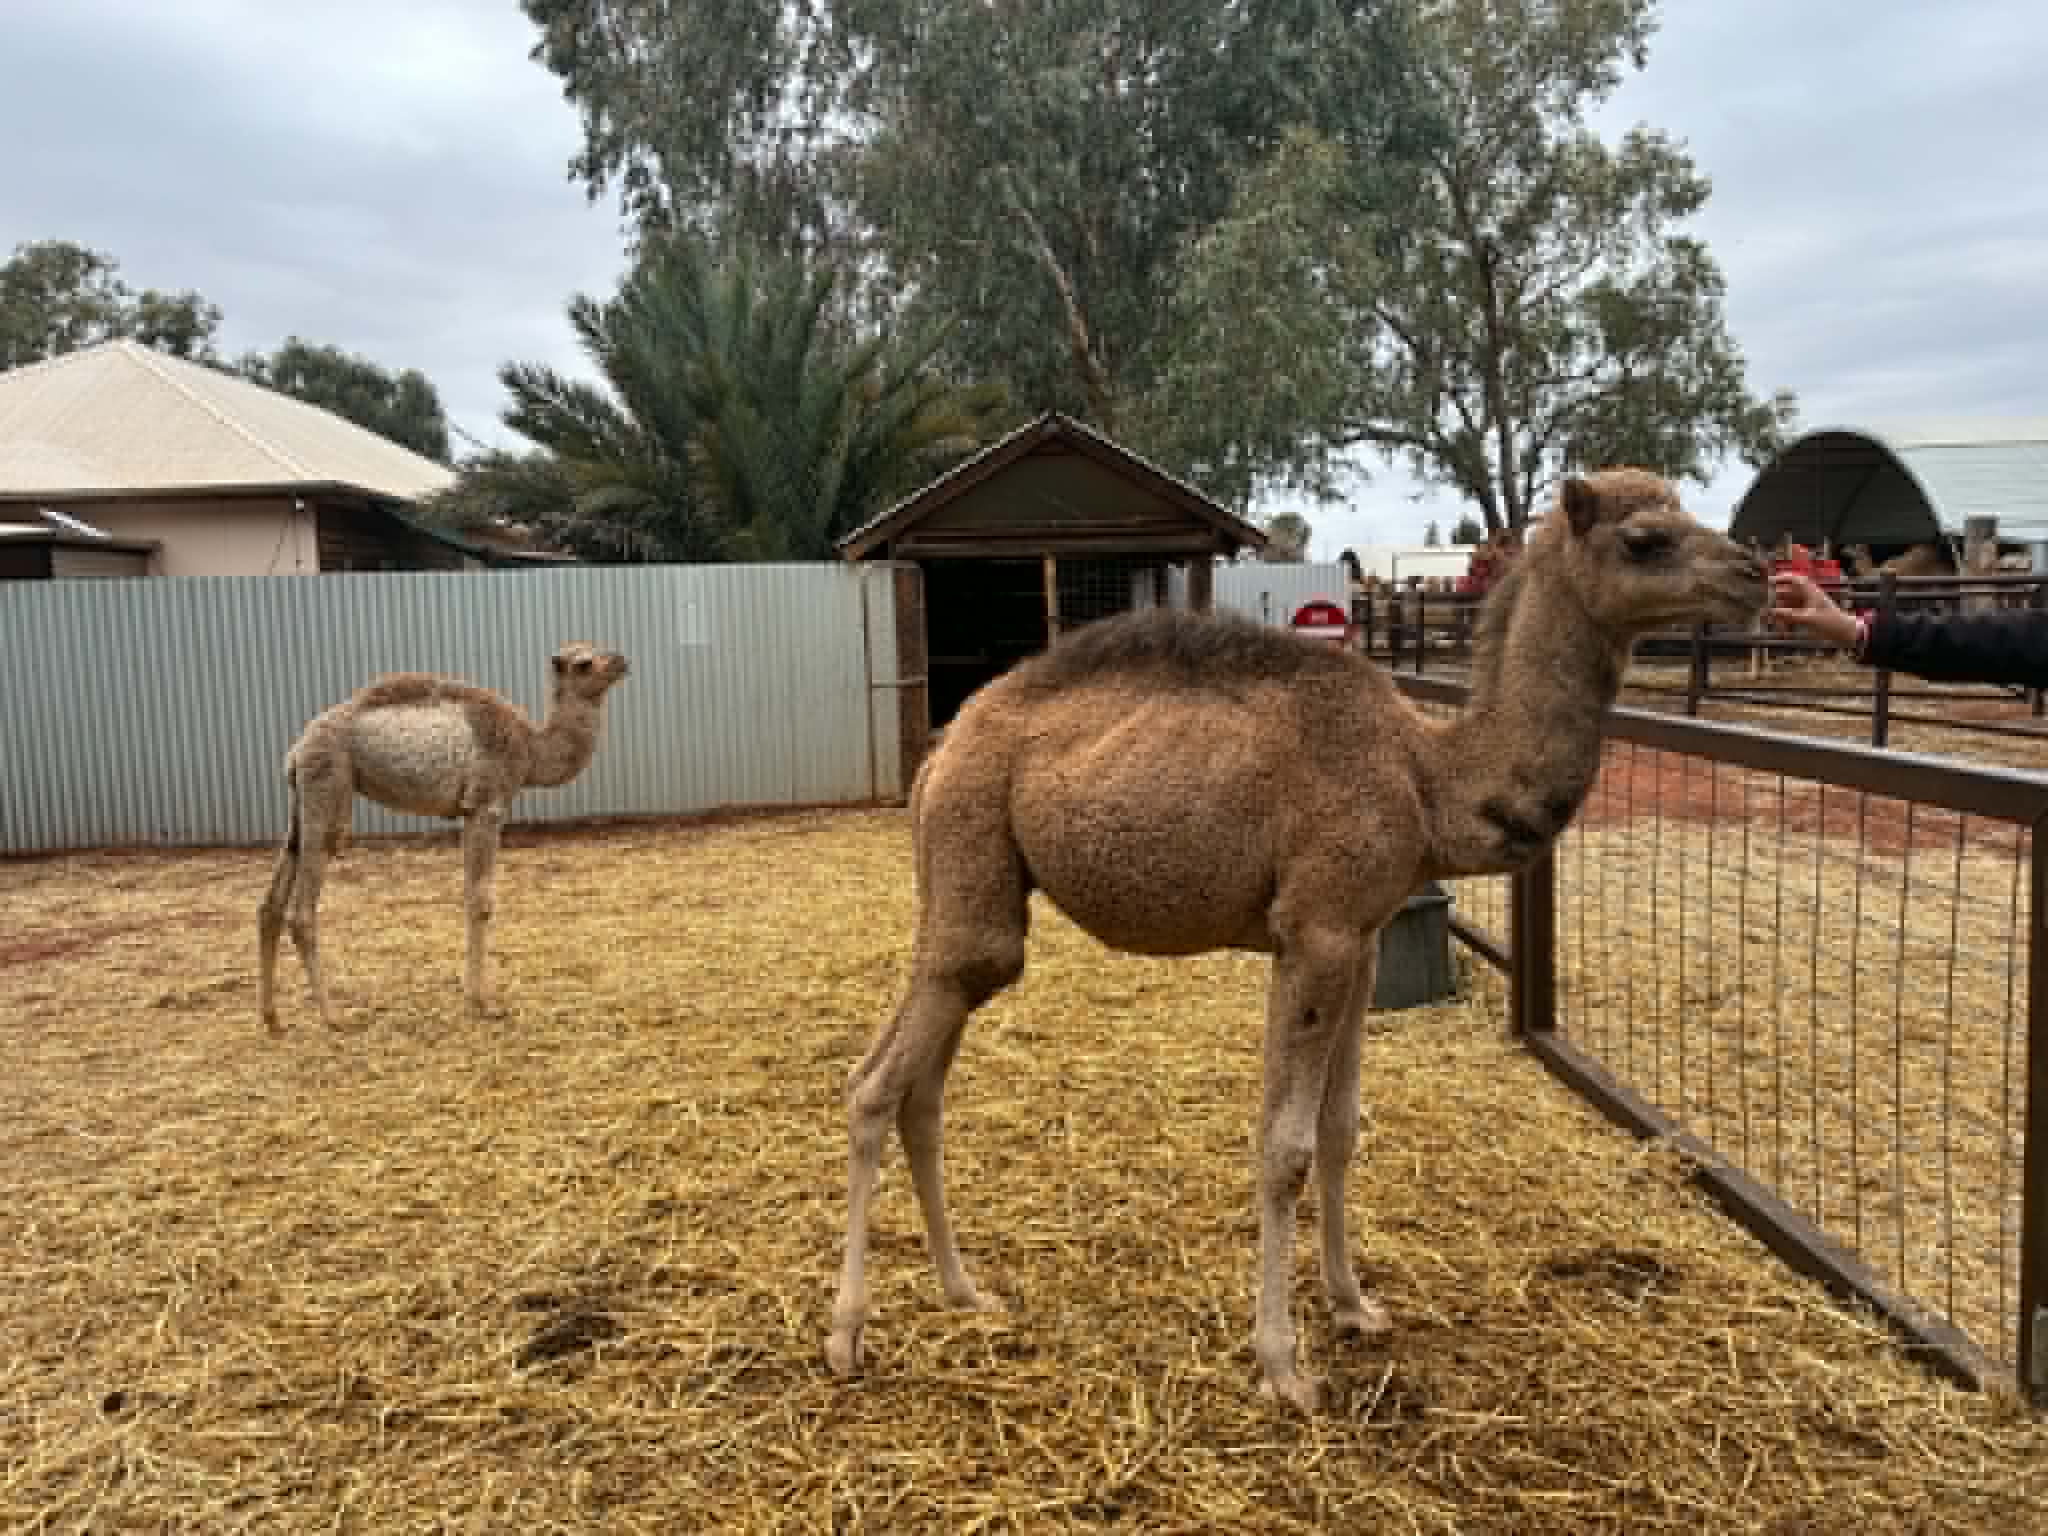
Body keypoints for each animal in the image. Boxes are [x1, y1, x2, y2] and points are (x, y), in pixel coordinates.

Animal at [257, 643, 631, 1033]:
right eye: (584, 664)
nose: (621, 662)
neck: (531, 750)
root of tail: (296, 751)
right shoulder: (486, 805)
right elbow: (481, 902)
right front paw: (483, 1003)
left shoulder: (467, 812)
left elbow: (469, 897)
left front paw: (472, 996)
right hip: (328, 787)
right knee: (302, 910)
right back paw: (333, 1017)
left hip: (301, 802)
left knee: (271, 902)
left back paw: (273, 1019)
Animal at [825, 468, 1767, 1411]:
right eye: (1646, 539)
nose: (1754, 573)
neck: (1429, 780)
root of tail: (937, 755)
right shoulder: (1314, 933)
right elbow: (1285, 1146)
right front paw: (1283, 1364)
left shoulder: (1365, 938)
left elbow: (1342, 1128)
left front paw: (1354, 1305)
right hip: (972, 866)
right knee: (875, 1086)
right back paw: (845, 1335)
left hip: (968, 906)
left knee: (921, 1090)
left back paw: (964, 1291)